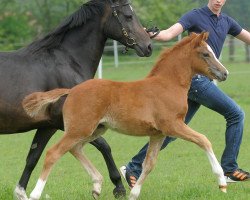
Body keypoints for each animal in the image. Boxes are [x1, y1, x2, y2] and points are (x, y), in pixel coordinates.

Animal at [23, 32, 229, 199]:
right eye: (206, 54)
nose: (224, 73)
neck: (168, 84)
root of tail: (71, 91)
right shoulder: (173, 125)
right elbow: (204, 140)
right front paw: (222, 182)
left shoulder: (158, 134)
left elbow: (149, 164)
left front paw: (133, 194)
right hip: (79, 129)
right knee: (53, 153)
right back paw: (34, 194)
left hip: (94, 130)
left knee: (75, 149)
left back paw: (97, 185)